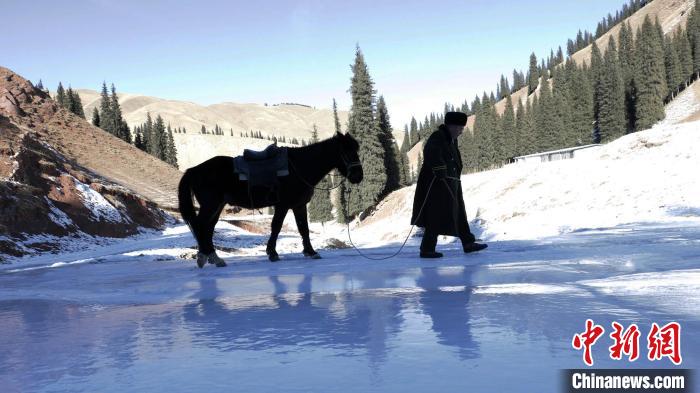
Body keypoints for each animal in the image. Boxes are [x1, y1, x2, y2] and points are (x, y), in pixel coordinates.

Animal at [178, 132, 364, 266]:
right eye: (347, 151)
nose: (358, 176)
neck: (300, 167)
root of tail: (194, 170)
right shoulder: (283, 205)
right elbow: (276, 227)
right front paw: (272, 253)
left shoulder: (299, 205)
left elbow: (303, 228)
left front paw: (310, 252)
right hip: (210, 204)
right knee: (200, 225)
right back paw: (204, 257)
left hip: (217, 205)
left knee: (208, 227)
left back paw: (214, 258)